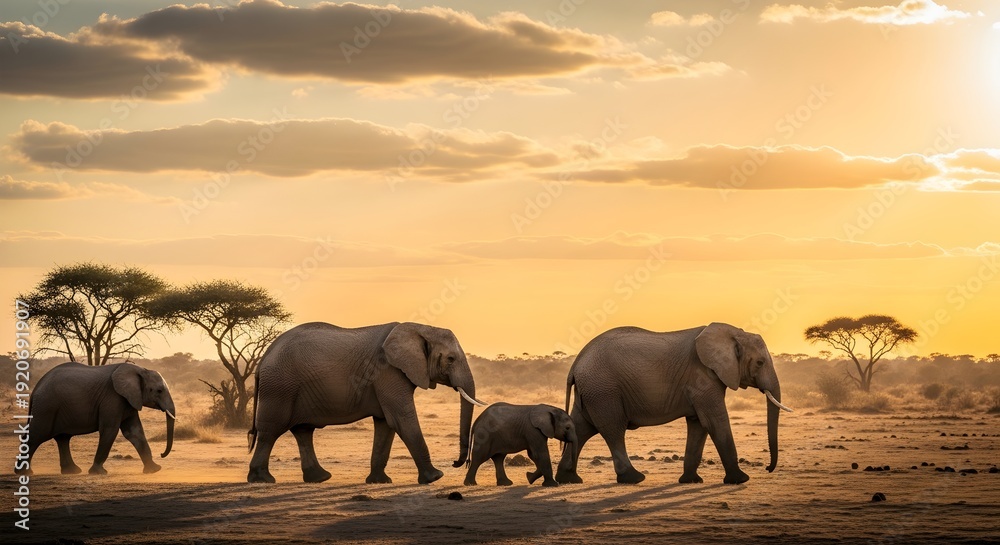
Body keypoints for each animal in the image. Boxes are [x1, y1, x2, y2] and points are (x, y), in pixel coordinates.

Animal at [18, 362, 176, 475]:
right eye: (159, 391)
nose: (162, 454)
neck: (140, 369)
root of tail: (36, 387)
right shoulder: (112, 398)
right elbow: (110, 430)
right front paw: (99, 473)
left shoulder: (129, 399)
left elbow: (134, 432)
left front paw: (154, 470)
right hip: (46, 407)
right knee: (36, 435)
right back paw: (24, 472)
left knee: (63, 438)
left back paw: (72, 471)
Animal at [247, 321, 485, 484]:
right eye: (450, 359)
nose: (456, 462)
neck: (419, 328)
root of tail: (264, 356)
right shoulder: (388, 371)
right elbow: (401, 418)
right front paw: (435, 477)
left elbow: (385, 424)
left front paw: (380, 481)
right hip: (279, 387)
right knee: (270, 431)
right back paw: (262, 479)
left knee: (303, 431)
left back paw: (320, 478)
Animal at [555, 323, 792, 485]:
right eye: (760, 362)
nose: (768, 469)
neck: (733, 333)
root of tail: (575, 363)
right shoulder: (702, 378)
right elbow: (715, 421)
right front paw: (741, 479)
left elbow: (699, 424)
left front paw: (691, 481)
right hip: (604, 390)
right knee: (613, 430)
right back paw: (634, 478)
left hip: (593, 391)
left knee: (581, 428)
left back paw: (568, 480)